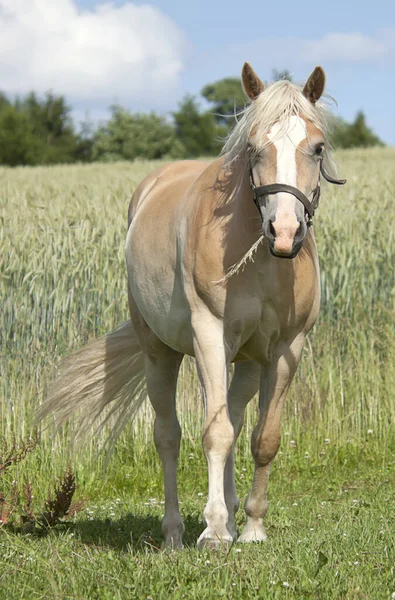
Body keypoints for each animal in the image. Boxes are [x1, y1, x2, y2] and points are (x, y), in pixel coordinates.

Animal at [39, 64, 346, 548]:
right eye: (253, 147)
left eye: (317, 148)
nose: (284, 232)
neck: (260, 258)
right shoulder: (209, 336)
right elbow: (214, 434)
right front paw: (216, 531)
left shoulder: (287, 349)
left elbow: (264, 437)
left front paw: (252, 528)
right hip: (160, 353)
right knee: (169, 435)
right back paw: (175, 532)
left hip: (247, 361)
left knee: (235, 419)